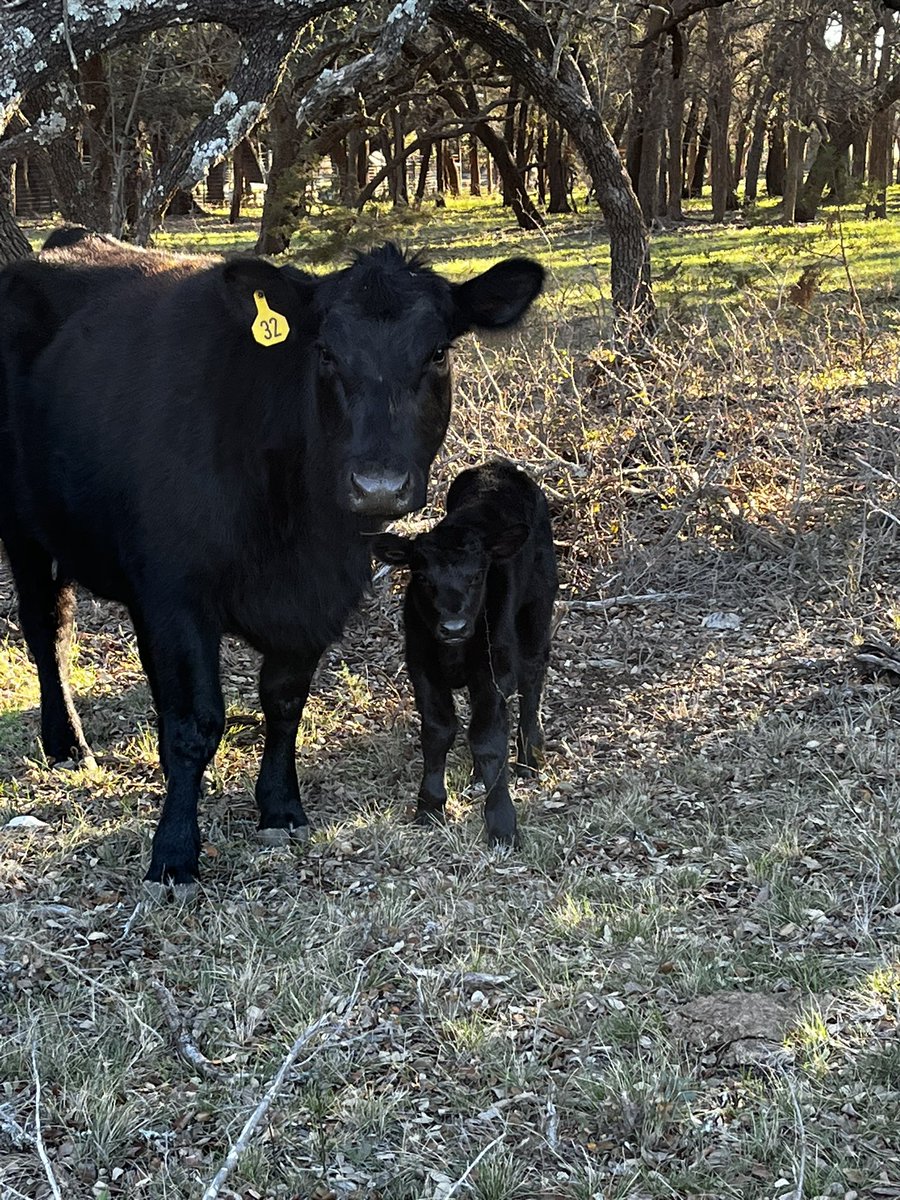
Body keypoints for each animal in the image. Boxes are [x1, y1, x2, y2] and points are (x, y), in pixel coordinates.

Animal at [373, 458, 558, 846]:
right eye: (422, 578)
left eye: (476, 576)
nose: (454, 628)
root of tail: (498, 467)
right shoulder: (422, 666)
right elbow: (438, 730)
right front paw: (429, 807)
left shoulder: (493, 668)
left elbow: (487, 739)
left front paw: (502, 823)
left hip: (537, 609)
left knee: (533, 677)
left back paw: (528, 759)